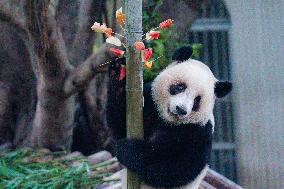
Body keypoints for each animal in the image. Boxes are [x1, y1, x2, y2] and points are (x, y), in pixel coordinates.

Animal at [107, 46, 232, 189]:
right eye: (180, 87)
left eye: (196, 101)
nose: (181, 109)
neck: (168, 121)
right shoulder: (150, 104)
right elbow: (120, 125)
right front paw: (118, 72)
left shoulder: (198, 130)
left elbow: (174, 167)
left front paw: (127, 149)